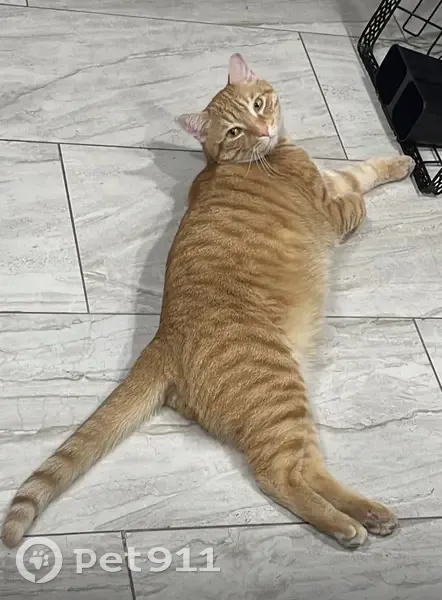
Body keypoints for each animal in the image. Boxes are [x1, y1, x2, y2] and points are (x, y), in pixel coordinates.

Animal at [2, 53, 415, 550]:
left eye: (258, 104)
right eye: (235, 131)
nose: (262, 128)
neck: (265, 156)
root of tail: (161, 338)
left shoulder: (329, 175)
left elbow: (362, 170)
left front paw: (402, 162)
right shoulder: (330, 209)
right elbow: (354, 197)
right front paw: (374, 187)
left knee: (308, 468)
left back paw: (371, 513)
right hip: (279, 388)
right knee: (279, 476)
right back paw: (348, 526)